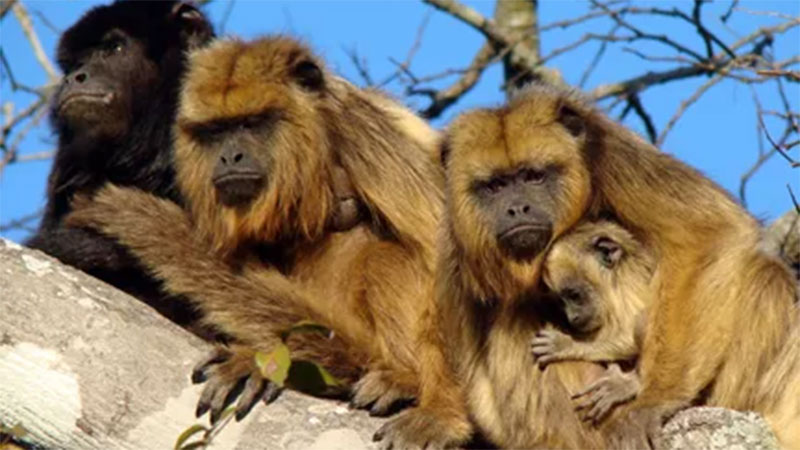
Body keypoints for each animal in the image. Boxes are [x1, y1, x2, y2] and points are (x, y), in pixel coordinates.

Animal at [66, 36, 472, 447]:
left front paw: (443, 415)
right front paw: (256, 361)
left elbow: (441, 253)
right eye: (217, 131)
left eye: (252, 123)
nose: (230, 156)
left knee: (387, 260)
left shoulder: (361, 133)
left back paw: (404, 378)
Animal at [531, 220, 655, 424]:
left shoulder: (629, 285)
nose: (572, 317)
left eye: (574, 295)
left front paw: (567, 345)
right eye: (561, 302)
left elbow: (633, 337)